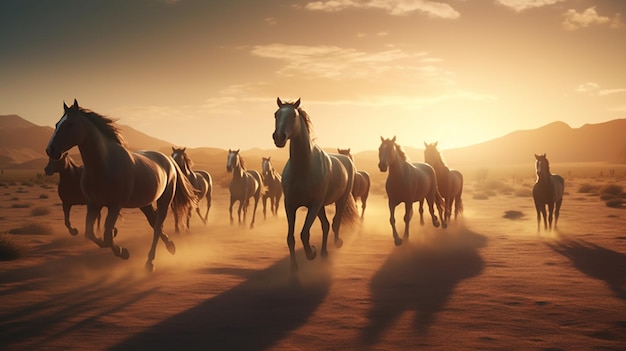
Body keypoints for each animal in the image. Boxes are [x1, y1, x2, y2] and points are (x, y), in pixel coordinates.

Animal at [45, 99, 196, 272]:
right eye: (57, 124)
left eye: (70, 124)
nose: (50, 150)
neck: (104, 165)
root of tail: (169, 160)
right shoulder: (93, 204)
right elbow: (91, 233)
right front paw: (120, 246)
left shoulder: (114, 206)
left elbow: (106, 235)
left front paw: (123, 251)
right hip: (144, 203)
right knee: (154, 223)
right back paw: (170, 246)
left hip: (164, 200)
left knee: (157, 227)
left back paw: (150, 262)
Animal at [270, 97, 358, 274]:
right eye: (276, 114)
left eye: (294, 115)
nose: (279, 137)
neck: (303, 168)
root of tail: (347, 160)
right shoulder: (290, 205)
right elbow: (290, 237)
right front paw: (294, 266)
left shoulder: (313, 205)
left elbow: (304, 233)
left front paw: (312, 252)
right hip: (321, 206)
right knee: (325, 225)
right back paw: (324, 253)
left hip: (339, 200)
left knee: (336, 221)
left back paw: (336, 243)